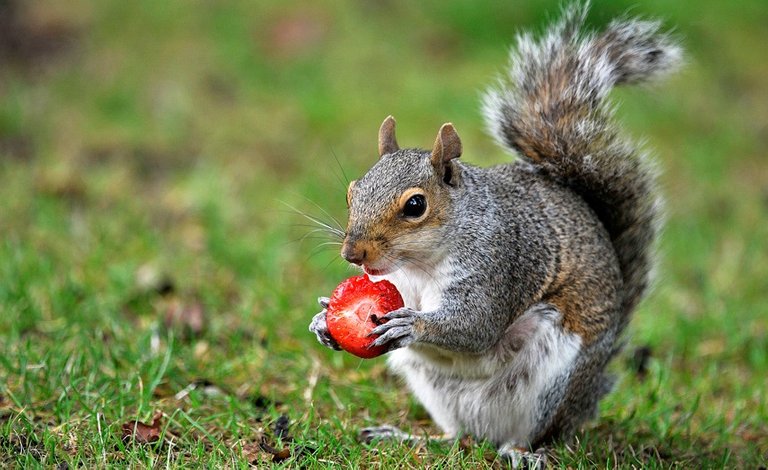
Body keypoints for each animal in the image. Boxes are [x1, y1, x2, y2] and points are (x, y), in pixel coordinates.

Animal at [308, 2, 680, 466]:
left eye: (415, 206)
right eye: (352, 190)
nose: (352, 254)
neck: (420, 264)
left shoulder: (499, 262)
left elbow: (478, 325)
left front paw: (413, 325)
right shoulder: (396, 283)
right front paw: (323, 319)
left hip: (554, 382)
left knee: (529, 433)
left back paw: (521, 452)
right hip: (436, 389)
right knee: (457, 434)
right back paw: (411, 438)